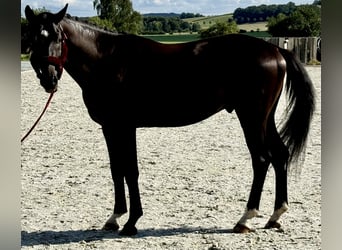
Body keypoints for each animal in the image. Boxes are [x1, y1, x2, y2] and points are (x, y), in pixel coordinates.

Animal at [24, 4, 316, 236]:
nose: (48, 78)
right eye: (33, 37)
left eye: (58, 36)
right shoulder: (109, 128)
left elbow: (130, 171)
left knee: (262, 159)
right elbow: (117, 170)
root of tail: (275, 50)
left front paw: (131, 222)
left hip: (252, 117)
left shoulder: (125, 127)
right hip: (265, 118)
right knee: (280, 155)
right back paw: (275, 216)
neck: (107, 61)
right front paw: (114, 218)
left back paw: (245, 218)